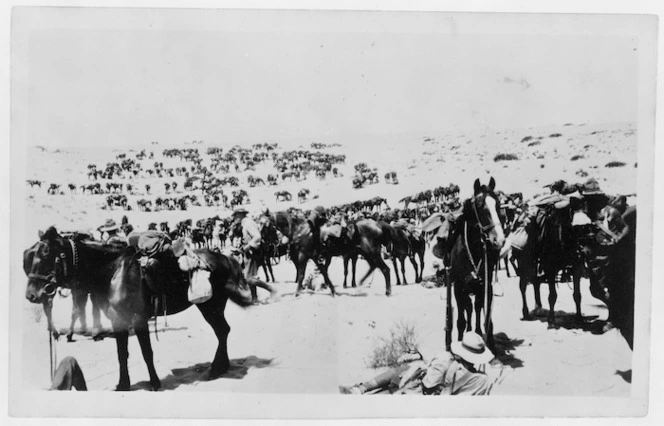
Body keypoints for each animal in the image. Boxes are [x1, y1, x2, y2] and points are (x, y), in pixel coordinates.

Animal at [24, 228, 253, 392]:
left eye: (46, 255)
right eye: (30, 256)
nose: (31, 295)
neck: (114, 273)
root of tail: (226, 258)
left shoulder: (138, 319)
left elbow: (146, 352)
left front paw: (154, 383)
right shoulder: (118, 321)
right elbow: (121, 354)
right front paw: (123, 384)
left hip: (210, 307)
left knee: (222, 331)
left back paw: (216, 369)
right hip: (213, 307)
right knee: (223, 331)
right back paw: (221, 366)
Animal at [448, 178, 506, 352]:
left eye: (498, 204)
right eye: (480, 206)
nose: (499, 240)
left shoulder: (483, 285)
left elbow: (480, 308)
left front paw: (481, 335)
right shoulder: (457, 286)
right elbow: (462, 316)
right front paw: (461, 339)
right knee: (467, 308)